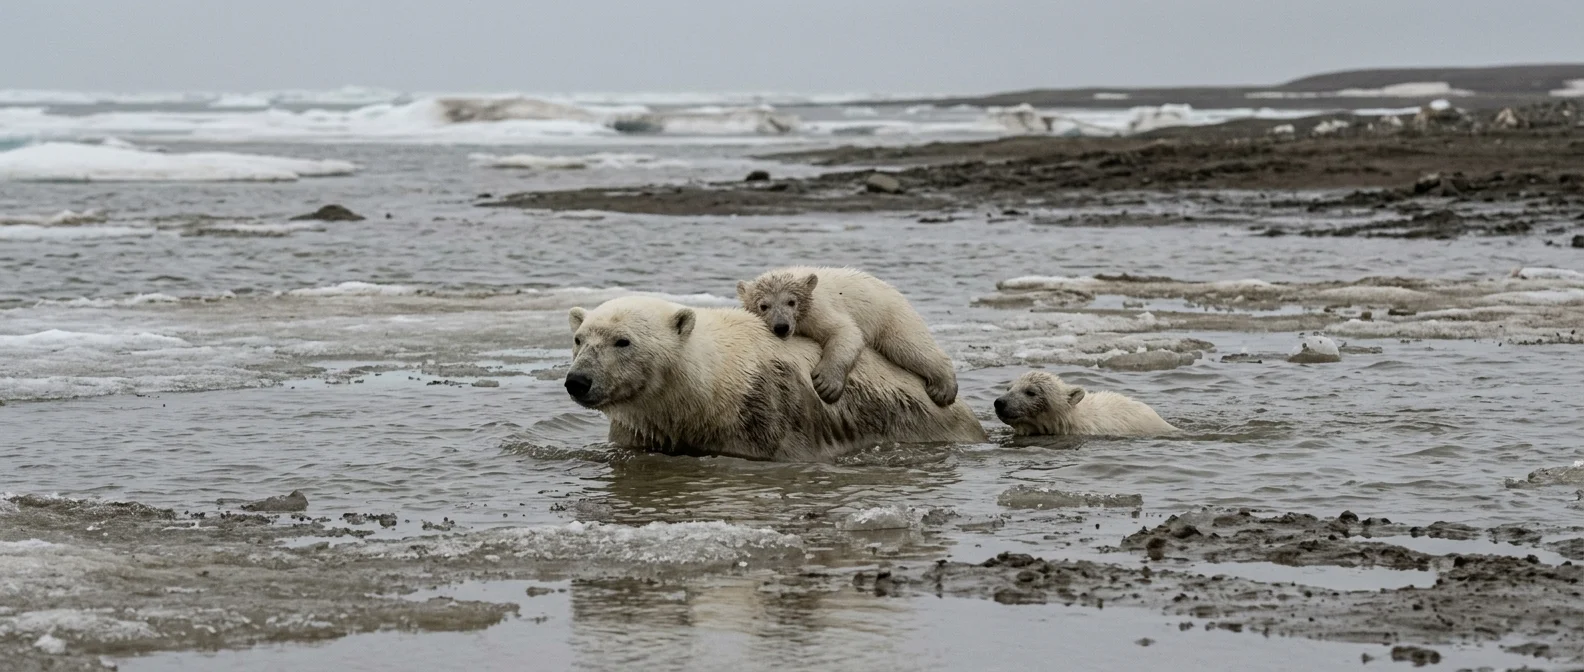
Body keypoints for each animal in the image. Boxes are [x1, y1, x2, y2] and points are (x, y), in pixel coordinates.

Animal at [735, 266, 958, 408]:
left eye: (791, 302)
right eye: (764, 306)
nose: (781, 327)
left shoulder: (819, 310)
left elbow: (845, 331)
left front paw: (826, 384)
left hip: (891, 315)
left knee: (909, 346)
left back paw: (944, 388)